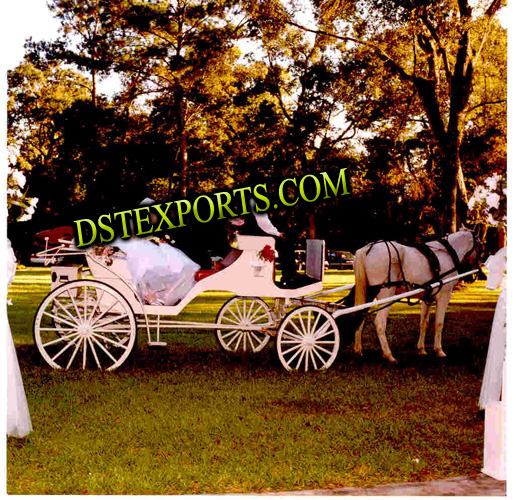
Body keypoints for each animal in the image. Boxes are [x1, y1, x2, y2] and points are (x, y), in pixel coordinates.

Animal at [352, 228, 478, 364]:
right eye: (480, 244)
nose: (476, 270)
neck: (447, 253)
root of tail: (368, 248)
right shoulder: (444, 295)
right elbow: (439, 323)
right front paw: (439, 350)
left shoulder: (428, 298)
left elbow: (424, 323)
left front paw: (422, 349)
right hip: (386, 294)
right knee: (379, 323)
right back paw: (389, 355)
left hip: (368, 294)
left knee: (360, 317)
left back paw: (358, 350)